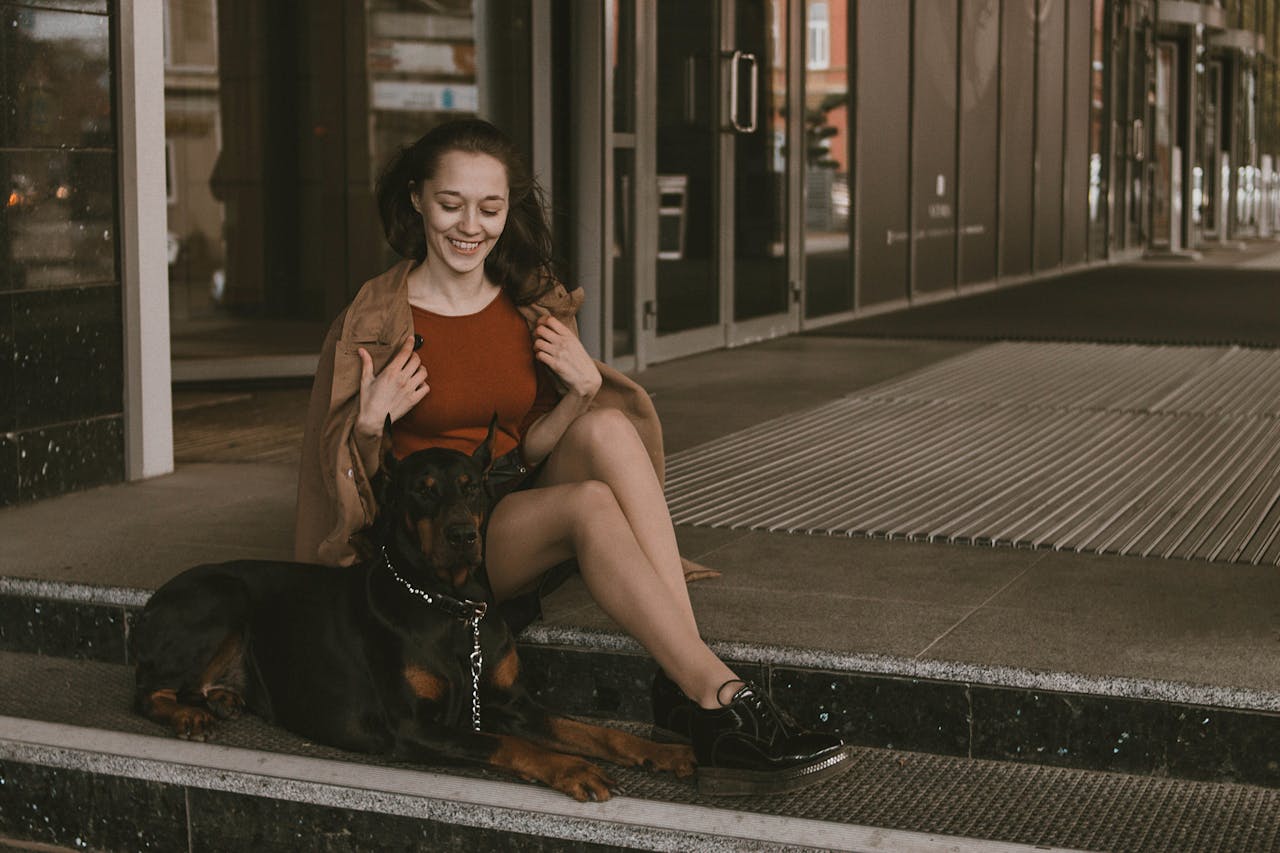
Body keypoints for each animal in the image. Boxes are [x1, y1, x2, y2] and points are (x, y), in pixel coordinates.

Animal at [131, 417, 696, 799]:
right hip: (223, 596)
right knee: (144, 691)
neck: (452, 606)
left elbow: (589, 730)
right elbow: (509, 744)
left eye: (473, 488)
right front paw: (572, 768)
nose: (463, 535)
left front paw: (660, 751)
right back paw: (188, 714)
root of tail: (151, 602)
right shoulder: (413, 726)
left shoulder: (514, 703)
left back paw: (224, 697)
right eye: (423, 493)